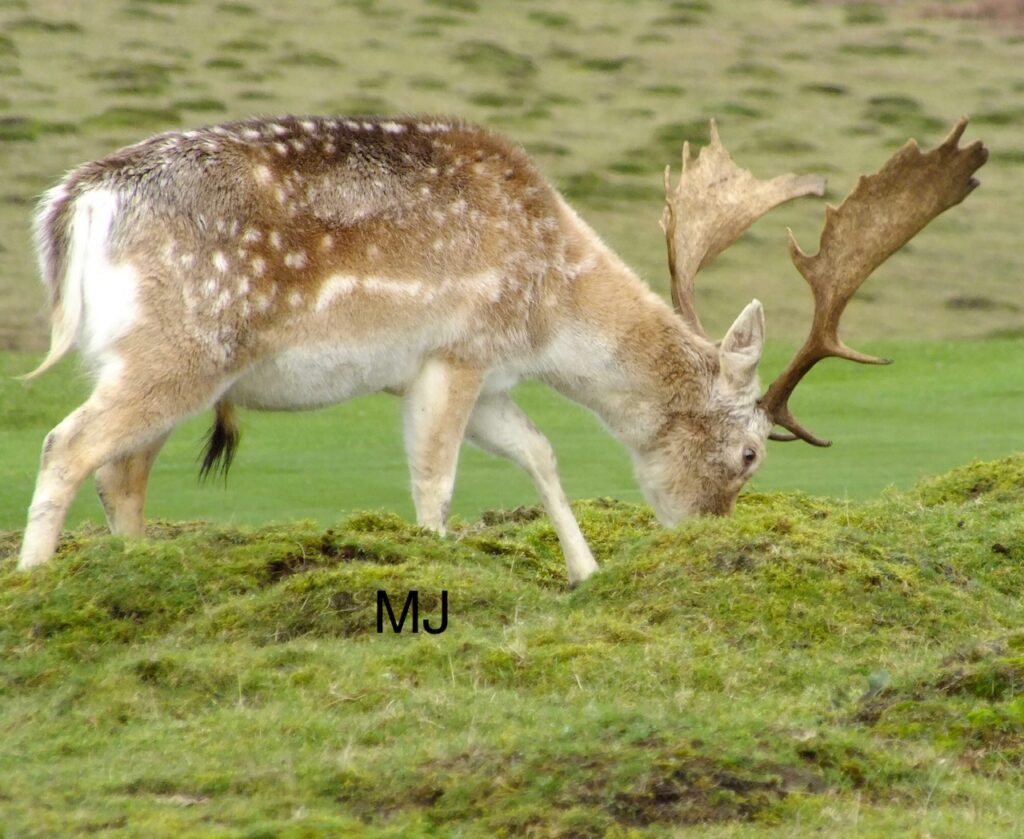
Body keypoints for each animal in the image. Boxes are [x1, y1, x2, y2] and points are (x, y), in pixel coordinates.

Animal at [16, 114, 986, 584]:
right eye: (751, 453)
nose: (705, 536)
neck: (550, 305)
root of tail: (73, 205)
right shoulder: (457, 348)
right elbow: (436, 479)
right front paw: (434, 561)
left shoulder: (481, 378)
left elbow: (541, 452)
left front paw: (586, 573)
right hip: (182, 344)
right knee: (67, 442)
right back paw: (34, 580)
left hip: (144, 359)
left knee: (121, 472)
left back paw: (140, 573)